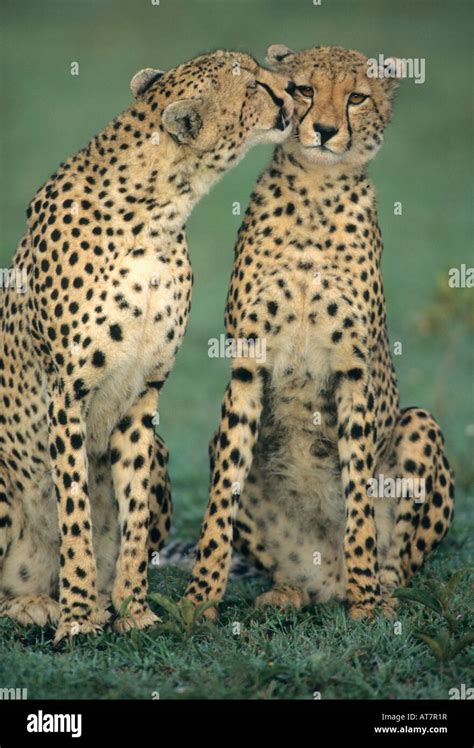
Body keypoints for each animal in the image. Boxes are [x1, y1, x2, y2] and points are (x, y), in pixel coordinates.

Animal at [0, 49, 294, 640]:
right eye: (254, 85)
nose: (292, 92)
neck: (155, 214)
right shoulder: (67, 395)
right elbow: (75, 514)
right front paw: (77, 620)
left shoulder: (143, 397)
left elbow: (131, 516)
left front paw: (131, 608)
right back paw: (39, 605)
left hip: (160, 448)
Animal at [183, 45, 454, 620]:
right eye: (304, 90)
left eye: (357, 98)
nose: (326, 130)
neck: (314, 192)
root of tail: (325, 576)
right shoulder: (247, 366)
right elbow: (219, 502)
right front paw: (198, 601)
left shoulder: (354, 371)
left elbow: (358, 498)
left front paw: (366, 603)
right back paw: (290, 590)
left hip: (419, 423)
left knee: (397, 560)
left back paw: (376, 591)